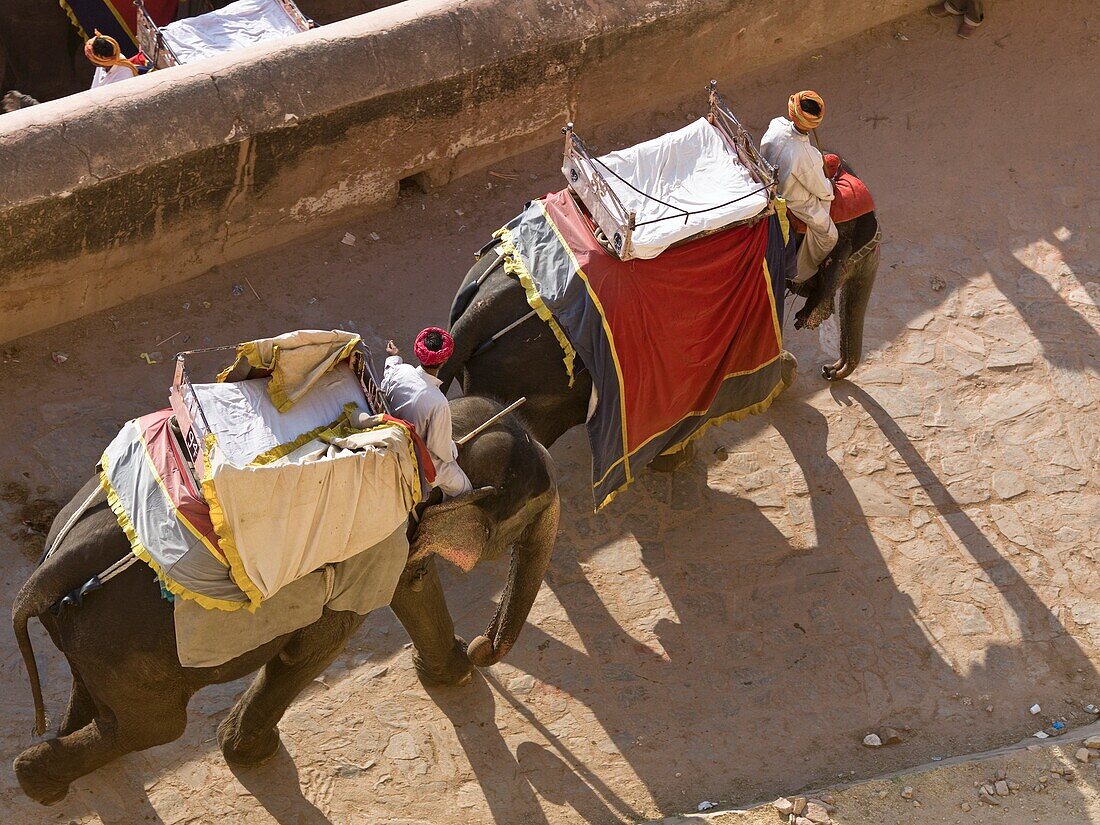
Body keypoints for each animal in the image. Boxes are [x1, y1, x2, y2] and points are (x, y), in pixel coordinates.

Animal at [10, 396, 558, 809]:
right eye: (527, 512)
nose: (484, 645)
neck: (424, 441)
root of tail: (46, 575)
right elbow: (321, 641)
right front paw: (250, 753)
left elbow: (412, 584)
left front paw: (455, 670)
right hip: (129, 651)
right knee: (156, 726)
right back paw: (44, 787)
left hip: (91, 639)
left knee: (97, 704)